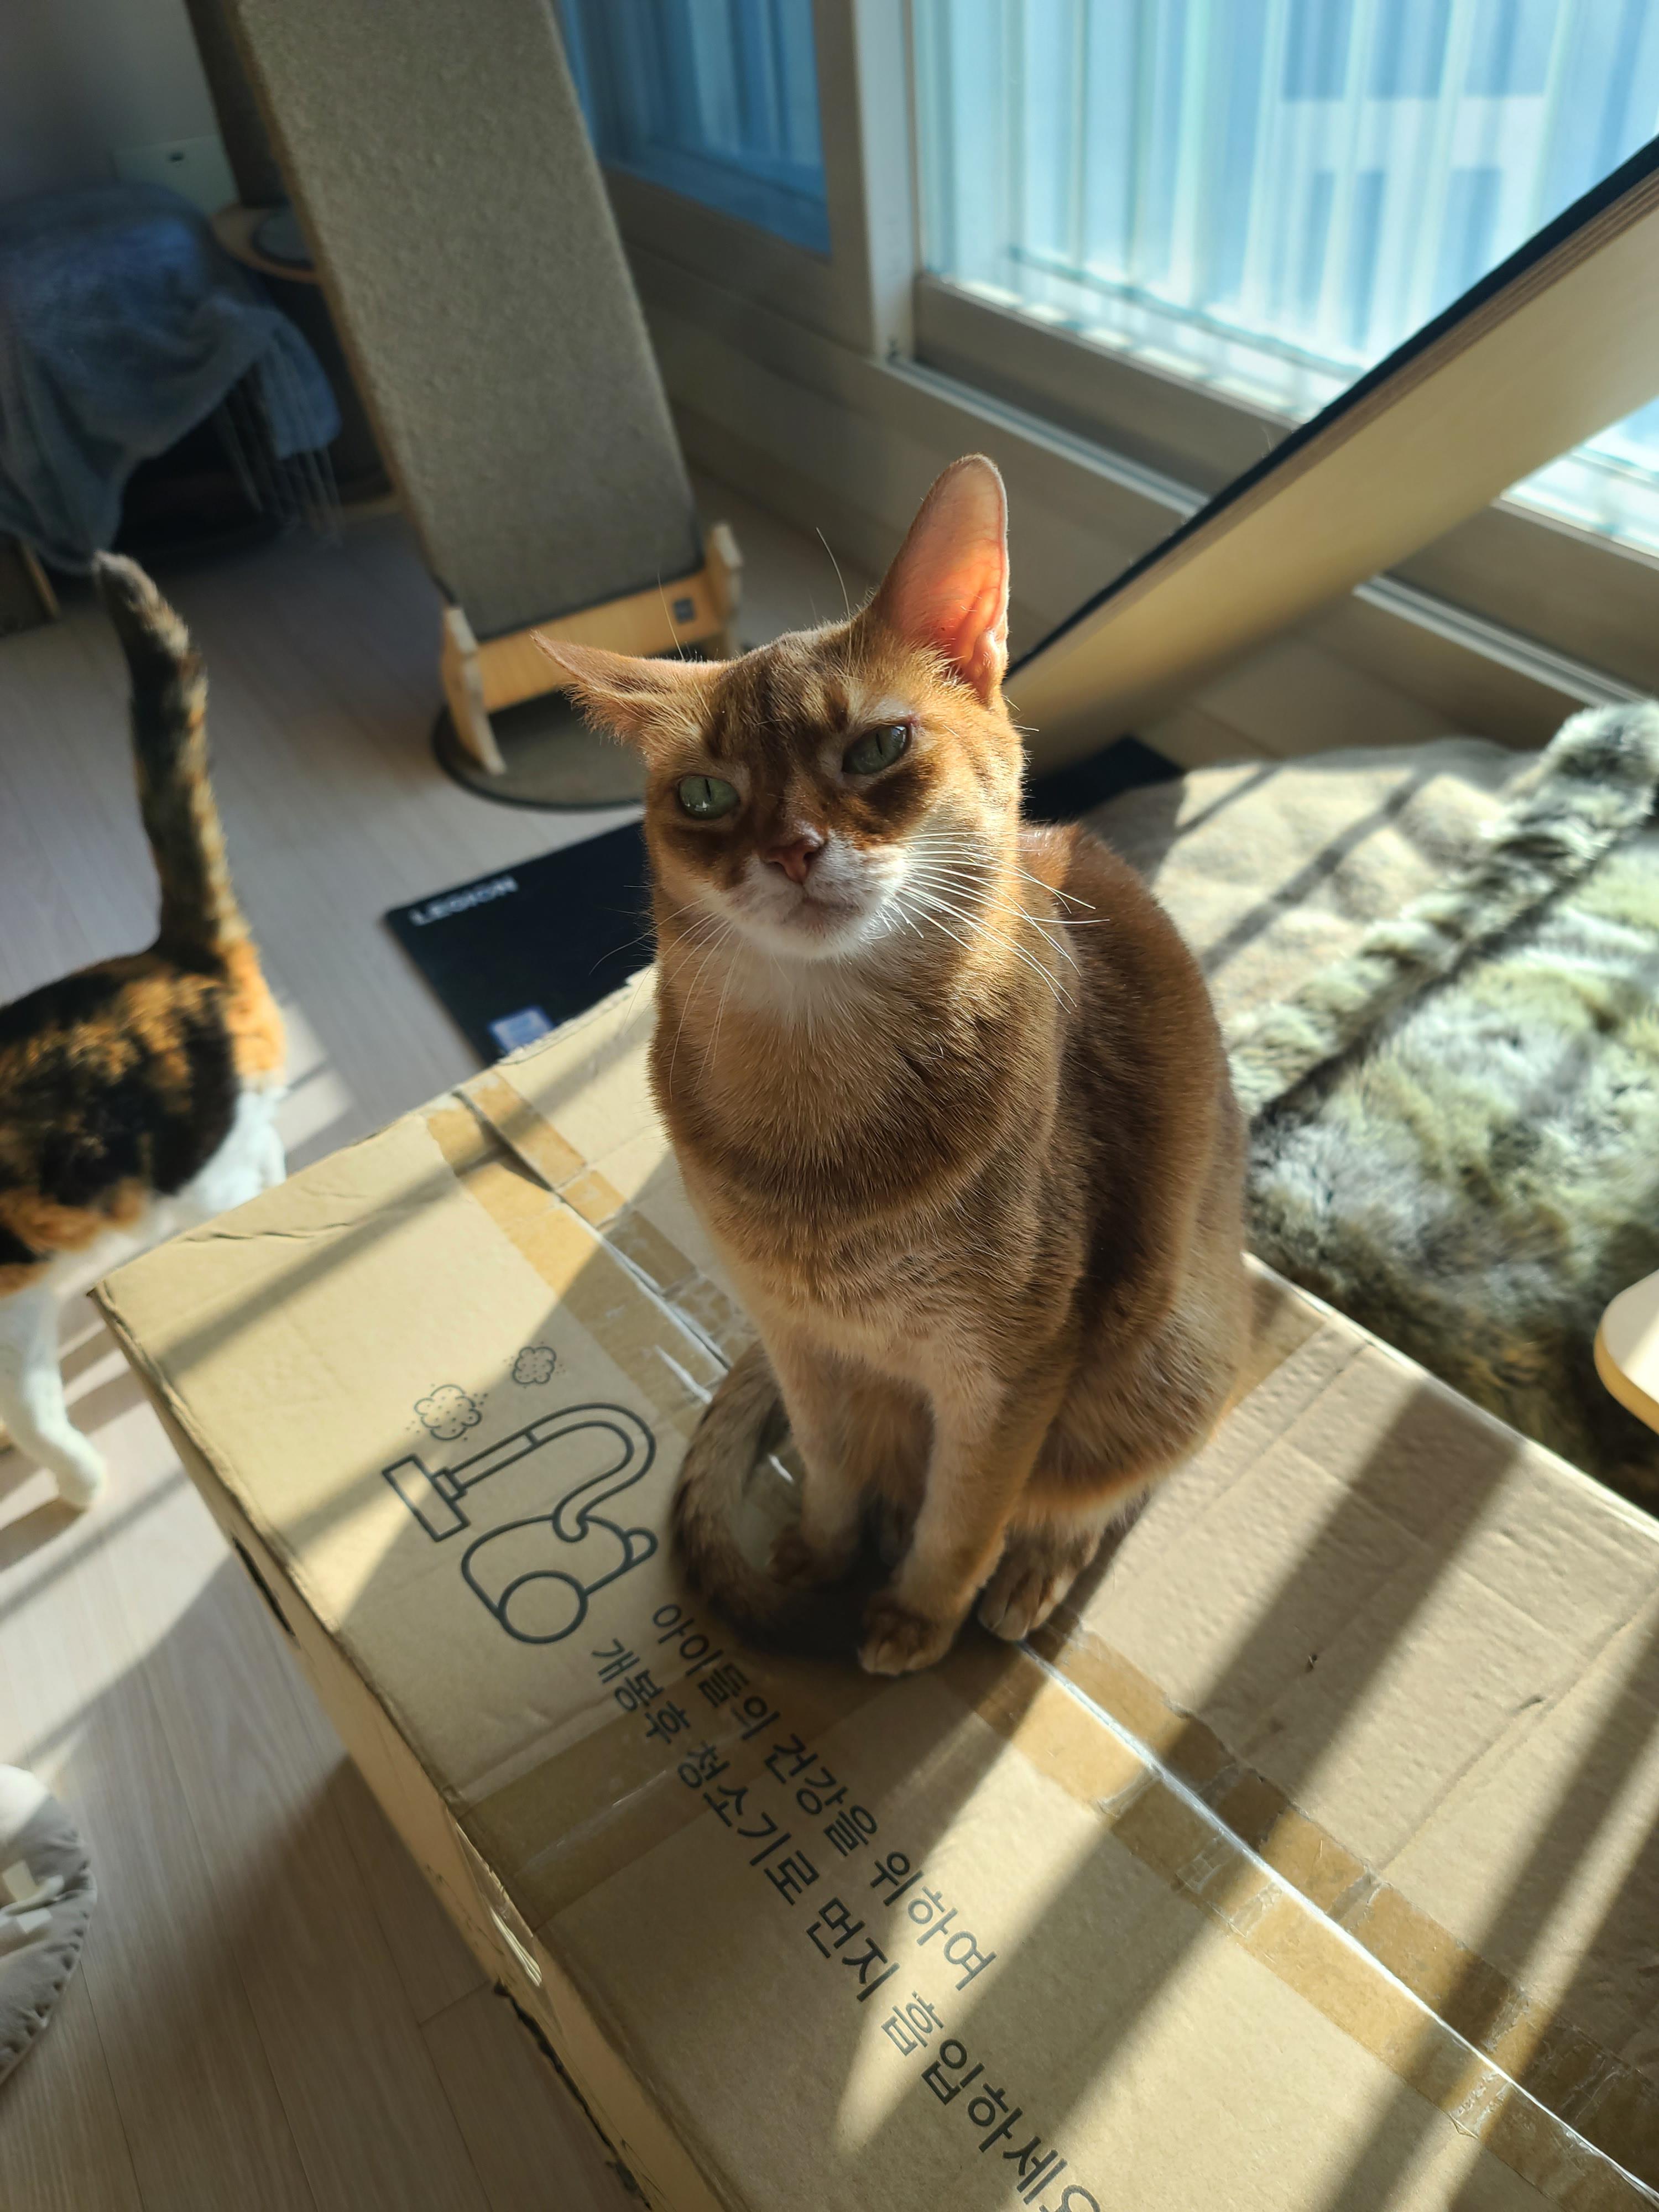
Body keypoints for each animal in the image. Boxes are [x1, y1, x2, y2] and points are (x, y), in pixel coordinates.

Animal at [542, 456, 1247, 1675]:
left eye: (877, 747)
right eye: (705, 796)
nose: (791, 850)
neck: (820, 1126)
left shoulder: (1011, 1370)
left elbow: (965, 1511)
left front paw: (919, 1613)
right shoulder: (799, 1340)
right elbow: (829, 1465)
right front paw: (821, 1553)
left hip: (1164, 1367)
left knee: (1099, 1493)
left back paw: (1032, 1574)